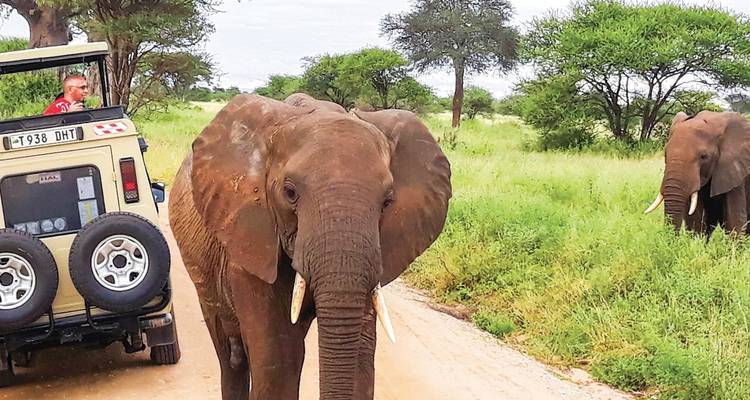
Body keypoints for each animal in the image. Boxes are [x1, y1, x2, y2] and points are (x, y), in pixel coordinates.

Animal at [168, 92, 451, 400]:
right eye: (290, 192)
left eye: (388, 202)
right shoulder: (249, 242)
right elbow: (278, 361)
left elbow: (361, 361)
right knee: (232, 355)